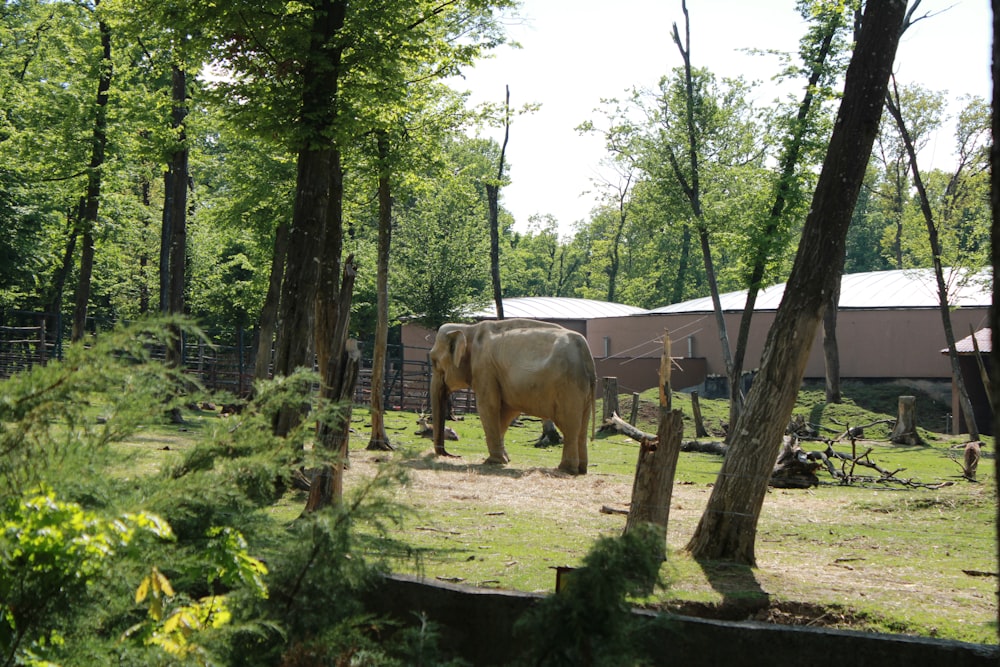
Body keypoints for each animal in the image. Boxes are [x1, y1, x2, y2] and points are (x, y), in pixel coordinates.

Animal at [428, 318, 596, 474]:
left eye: (434, 361)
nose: (453, 455)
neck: (469, 329)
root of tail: (585, 352)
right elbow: (505, 413)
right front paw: (504, 459)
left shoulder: (484, 369)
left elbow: (488, 407)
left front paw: (494, 461)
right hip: (582, 389)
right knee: (582, 429)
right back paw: (581, 470)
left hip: (568, 387)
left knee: (570, 428)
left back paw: (565, 469)